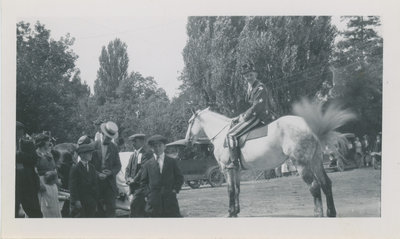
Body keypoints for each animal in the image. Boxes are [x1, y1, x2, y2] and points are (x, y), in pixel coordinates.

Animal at [185, 98, 356, 218]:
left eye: (190, 122)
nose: (187, 141)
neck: (223, 134)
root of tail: (311, 127)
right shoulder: (236, 169)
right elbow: (237, 189)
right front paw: (236, 211)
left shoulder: (227, 168)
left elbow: (230, 190)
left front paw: (230, 212)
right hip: (315, 161)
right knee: (326, 183)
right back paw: (331, 213)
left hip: (301, 164)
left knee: (314, 186)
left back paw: (318, 214)